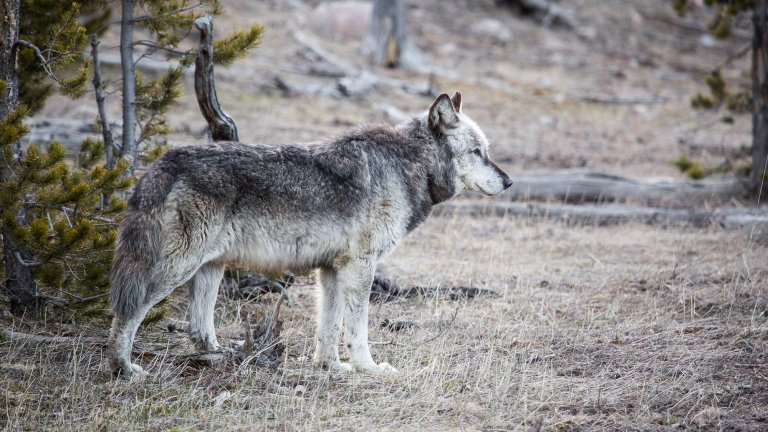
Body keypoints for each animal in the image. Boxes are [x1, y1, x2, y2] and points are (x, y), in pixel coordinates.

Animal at [108, 92, 513, 378]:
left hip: (210, 269)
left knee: (198, 329)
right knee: (127, 313)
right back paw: (124, 369)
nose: (509, 182)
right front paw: (368, 368)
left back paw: (222, 358)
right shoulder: (361, 266)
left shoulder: (331, 269)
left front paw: (331, 366)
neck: (408, 164)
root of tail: (164, 161)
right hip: (177, 269)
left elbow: (328, 328)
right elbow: (357, 328)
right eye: (477, 152)